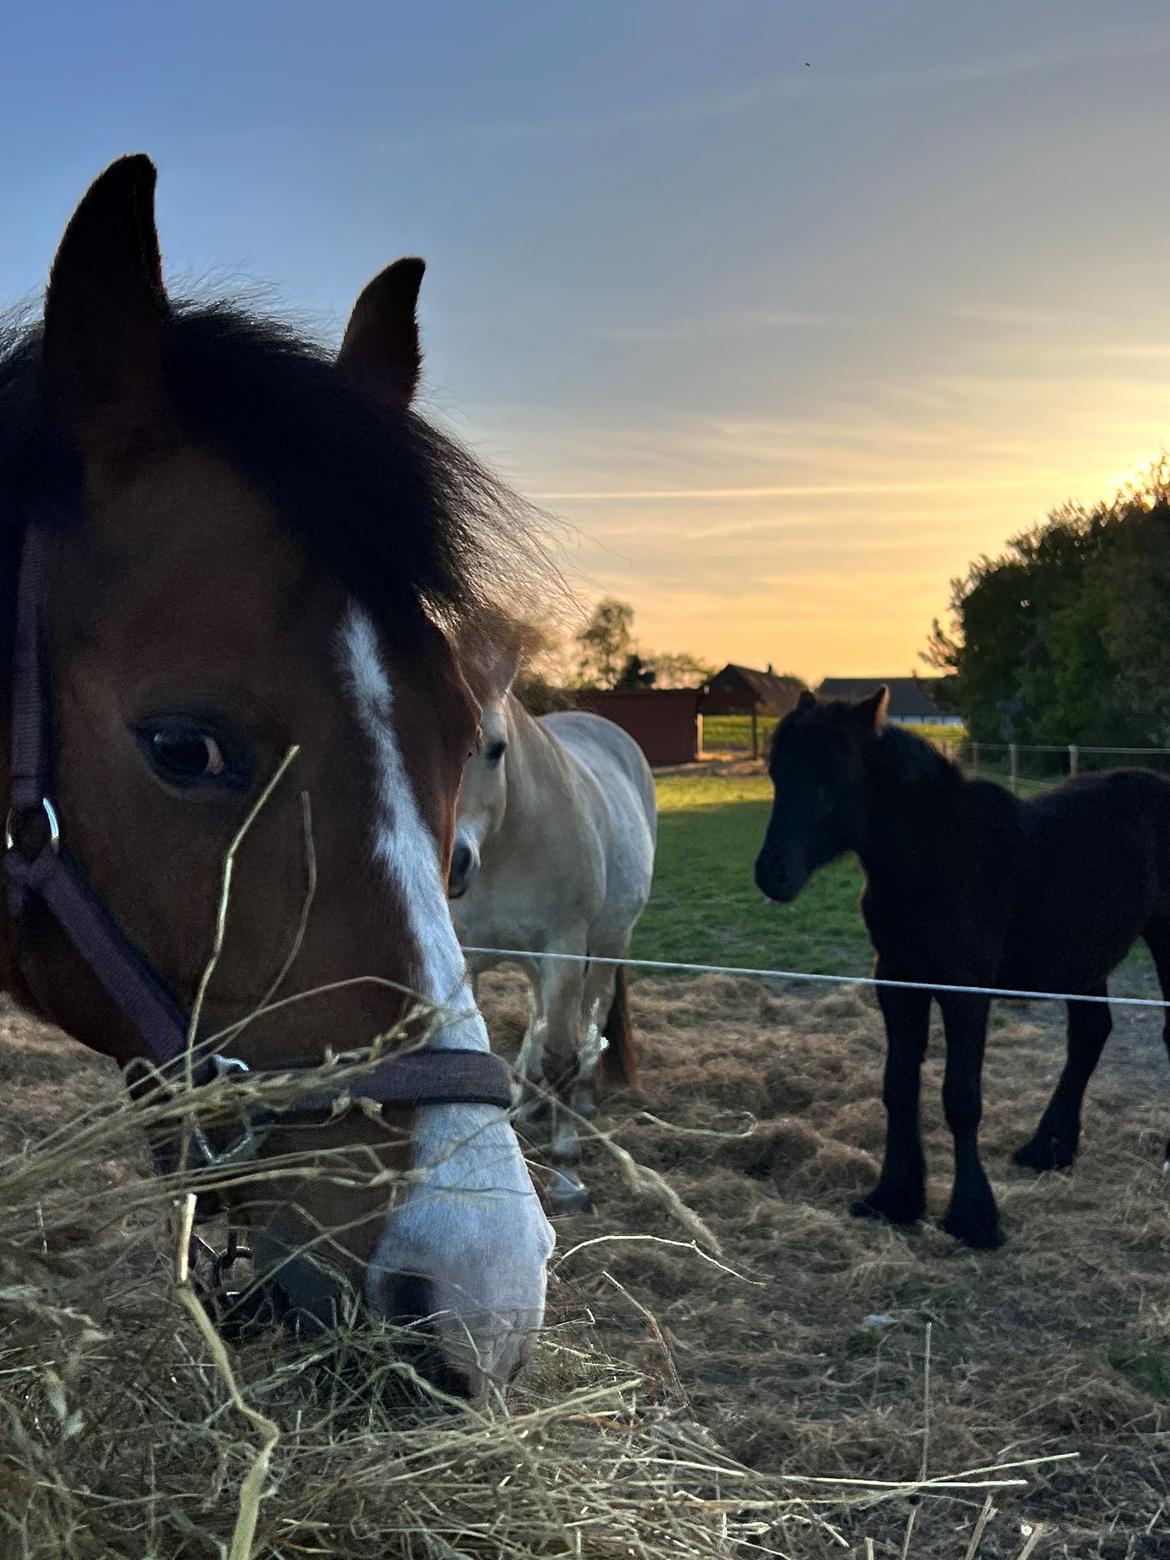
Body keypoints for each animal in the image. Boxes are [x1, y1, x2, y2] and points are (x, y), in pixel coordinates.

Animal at [446, 642, 655, 1204]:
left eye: (495, 748)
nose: (452, 863)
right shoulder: (465, 954)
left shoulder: (564, 946)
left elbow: (563, 1049)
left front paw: (566, 1167)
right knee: (541, 1017)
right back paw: (527, 1101)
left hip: (608, 942)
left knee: (592, 1011)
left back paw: (578, 1098)